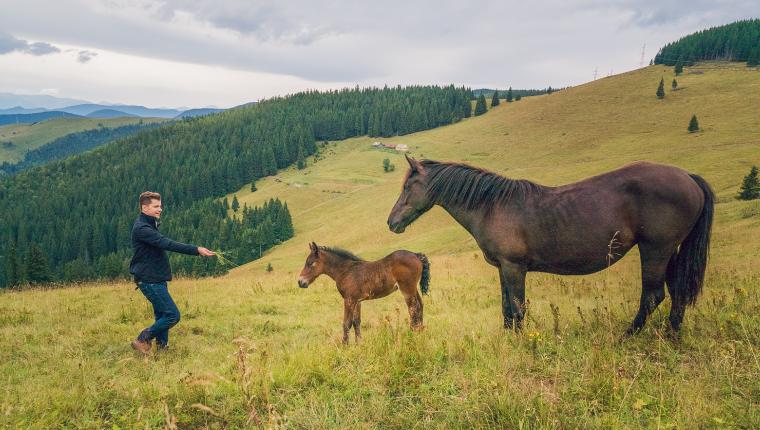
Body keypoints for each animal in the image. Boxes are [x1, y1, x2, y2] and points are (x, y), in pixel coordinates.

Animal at [296, 244, 428, 344]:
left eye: (311, 263)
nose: (300, 282)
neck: (345, 271)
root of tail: (416, 255)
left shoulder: (348, 299)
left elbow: (346, 323)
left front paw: (345, 346)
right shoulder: (357, 300)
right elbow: (356, 322)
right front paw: (359, 343)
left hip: (406, 288)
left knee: (413, 308)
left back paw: (412, 333)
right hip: (413, 288)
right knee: (420, 305)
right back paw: (420, 331)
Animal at [388, 156, 716, 334]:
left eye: (408, 186)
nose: (392, 222)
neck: (492, 205)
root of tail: (688, 177)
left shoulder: (514, 267)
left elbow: (518, 307)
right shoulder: (503, 268)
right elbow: (506, 307)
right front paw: (509, 338)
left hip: (655, 250)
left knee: (652, 296)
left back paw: (627, 335)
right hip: (670, 251)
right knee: (678, 292)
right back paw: (671, 335)